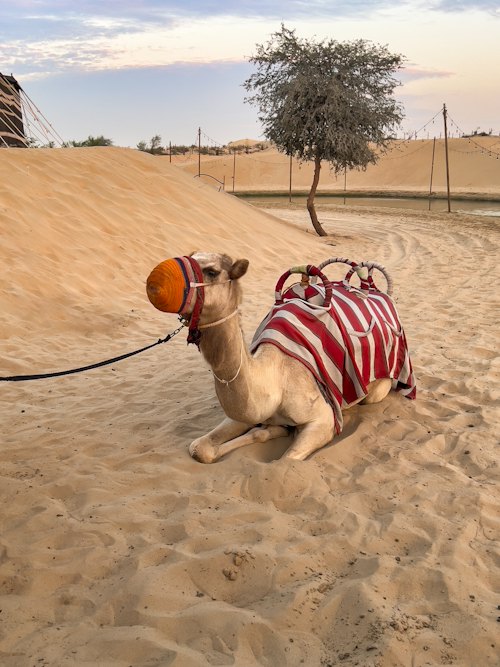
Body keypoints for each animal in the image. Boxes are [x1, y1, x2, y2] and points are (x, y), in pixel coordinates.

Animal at [146, 252, 415, 463]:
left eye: (211, 271)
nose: (154, 281)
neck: (275, 378)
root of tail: (380, 293)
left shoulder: (323, 419)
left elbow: (286, 460)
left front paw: (276, 432)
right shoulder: (245, 414)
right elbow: (199, 448)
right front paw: (274, 430)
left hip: (379, 386)